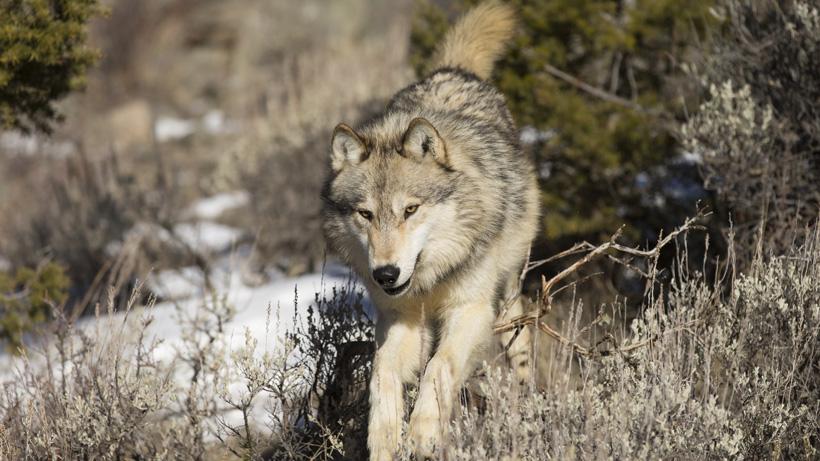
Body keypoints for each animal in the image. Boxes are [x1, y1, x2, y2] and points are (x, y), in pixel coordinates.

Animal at [321, 1, 539, 458]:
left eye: (410, 210)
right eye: (366, 214)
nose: (386, 274)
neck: (430, 279)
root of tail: (452, 70)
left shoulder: (471, 309)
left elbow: (439, 366)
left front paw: (422, 435)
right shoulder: (400, 320)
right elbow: (381, 372)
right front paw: (384, 438)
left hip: (508, 294)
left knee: (520, 343)